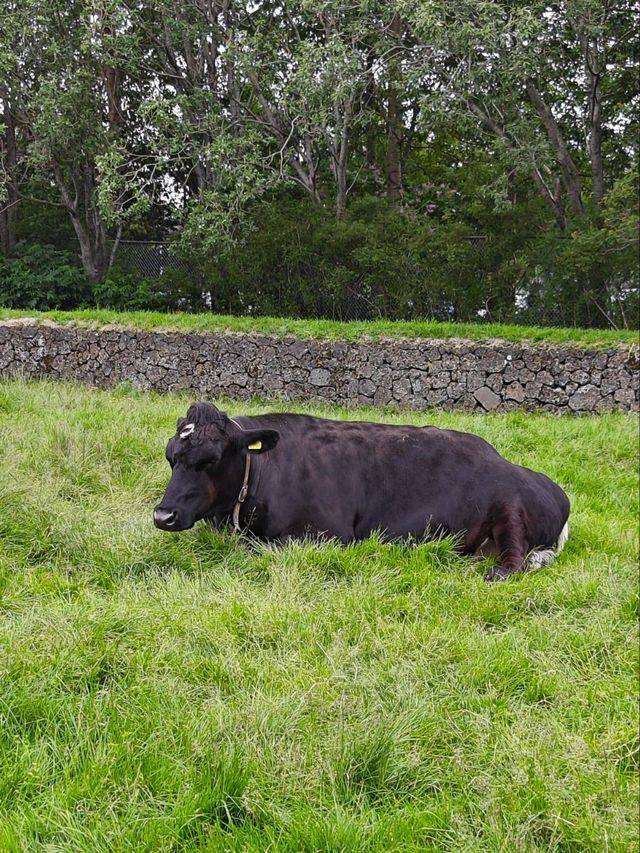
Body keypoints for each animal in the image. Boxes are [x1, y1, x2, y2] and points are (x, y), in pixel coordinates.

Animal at [154, 402, 568, 580]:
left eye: (211, 459)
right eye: (171, 456)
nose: (164, 515)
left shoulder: (331, 535)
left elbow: (262, 548)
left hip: (510, 506)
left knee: (514, 560)